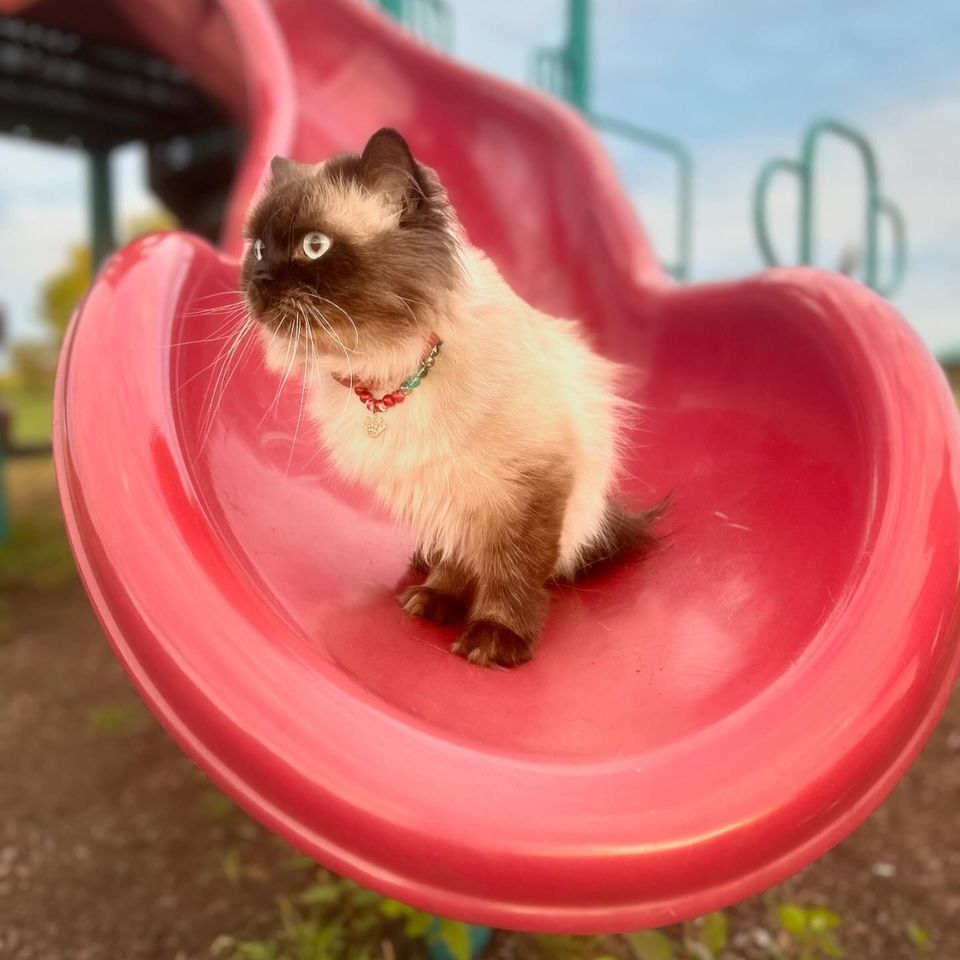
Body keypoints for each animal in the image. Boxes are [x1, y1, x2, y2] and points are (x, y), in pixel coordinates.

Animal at [240, 127, 660, 668]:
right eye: (258, 248)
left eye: (315, 246)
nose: (258, 280)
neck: (392, 373)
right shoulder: (440, 491)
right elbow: (457, 558)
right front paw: (437, 600)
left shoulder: (524, 486)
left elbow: (511, 569)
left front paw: (495, 638)